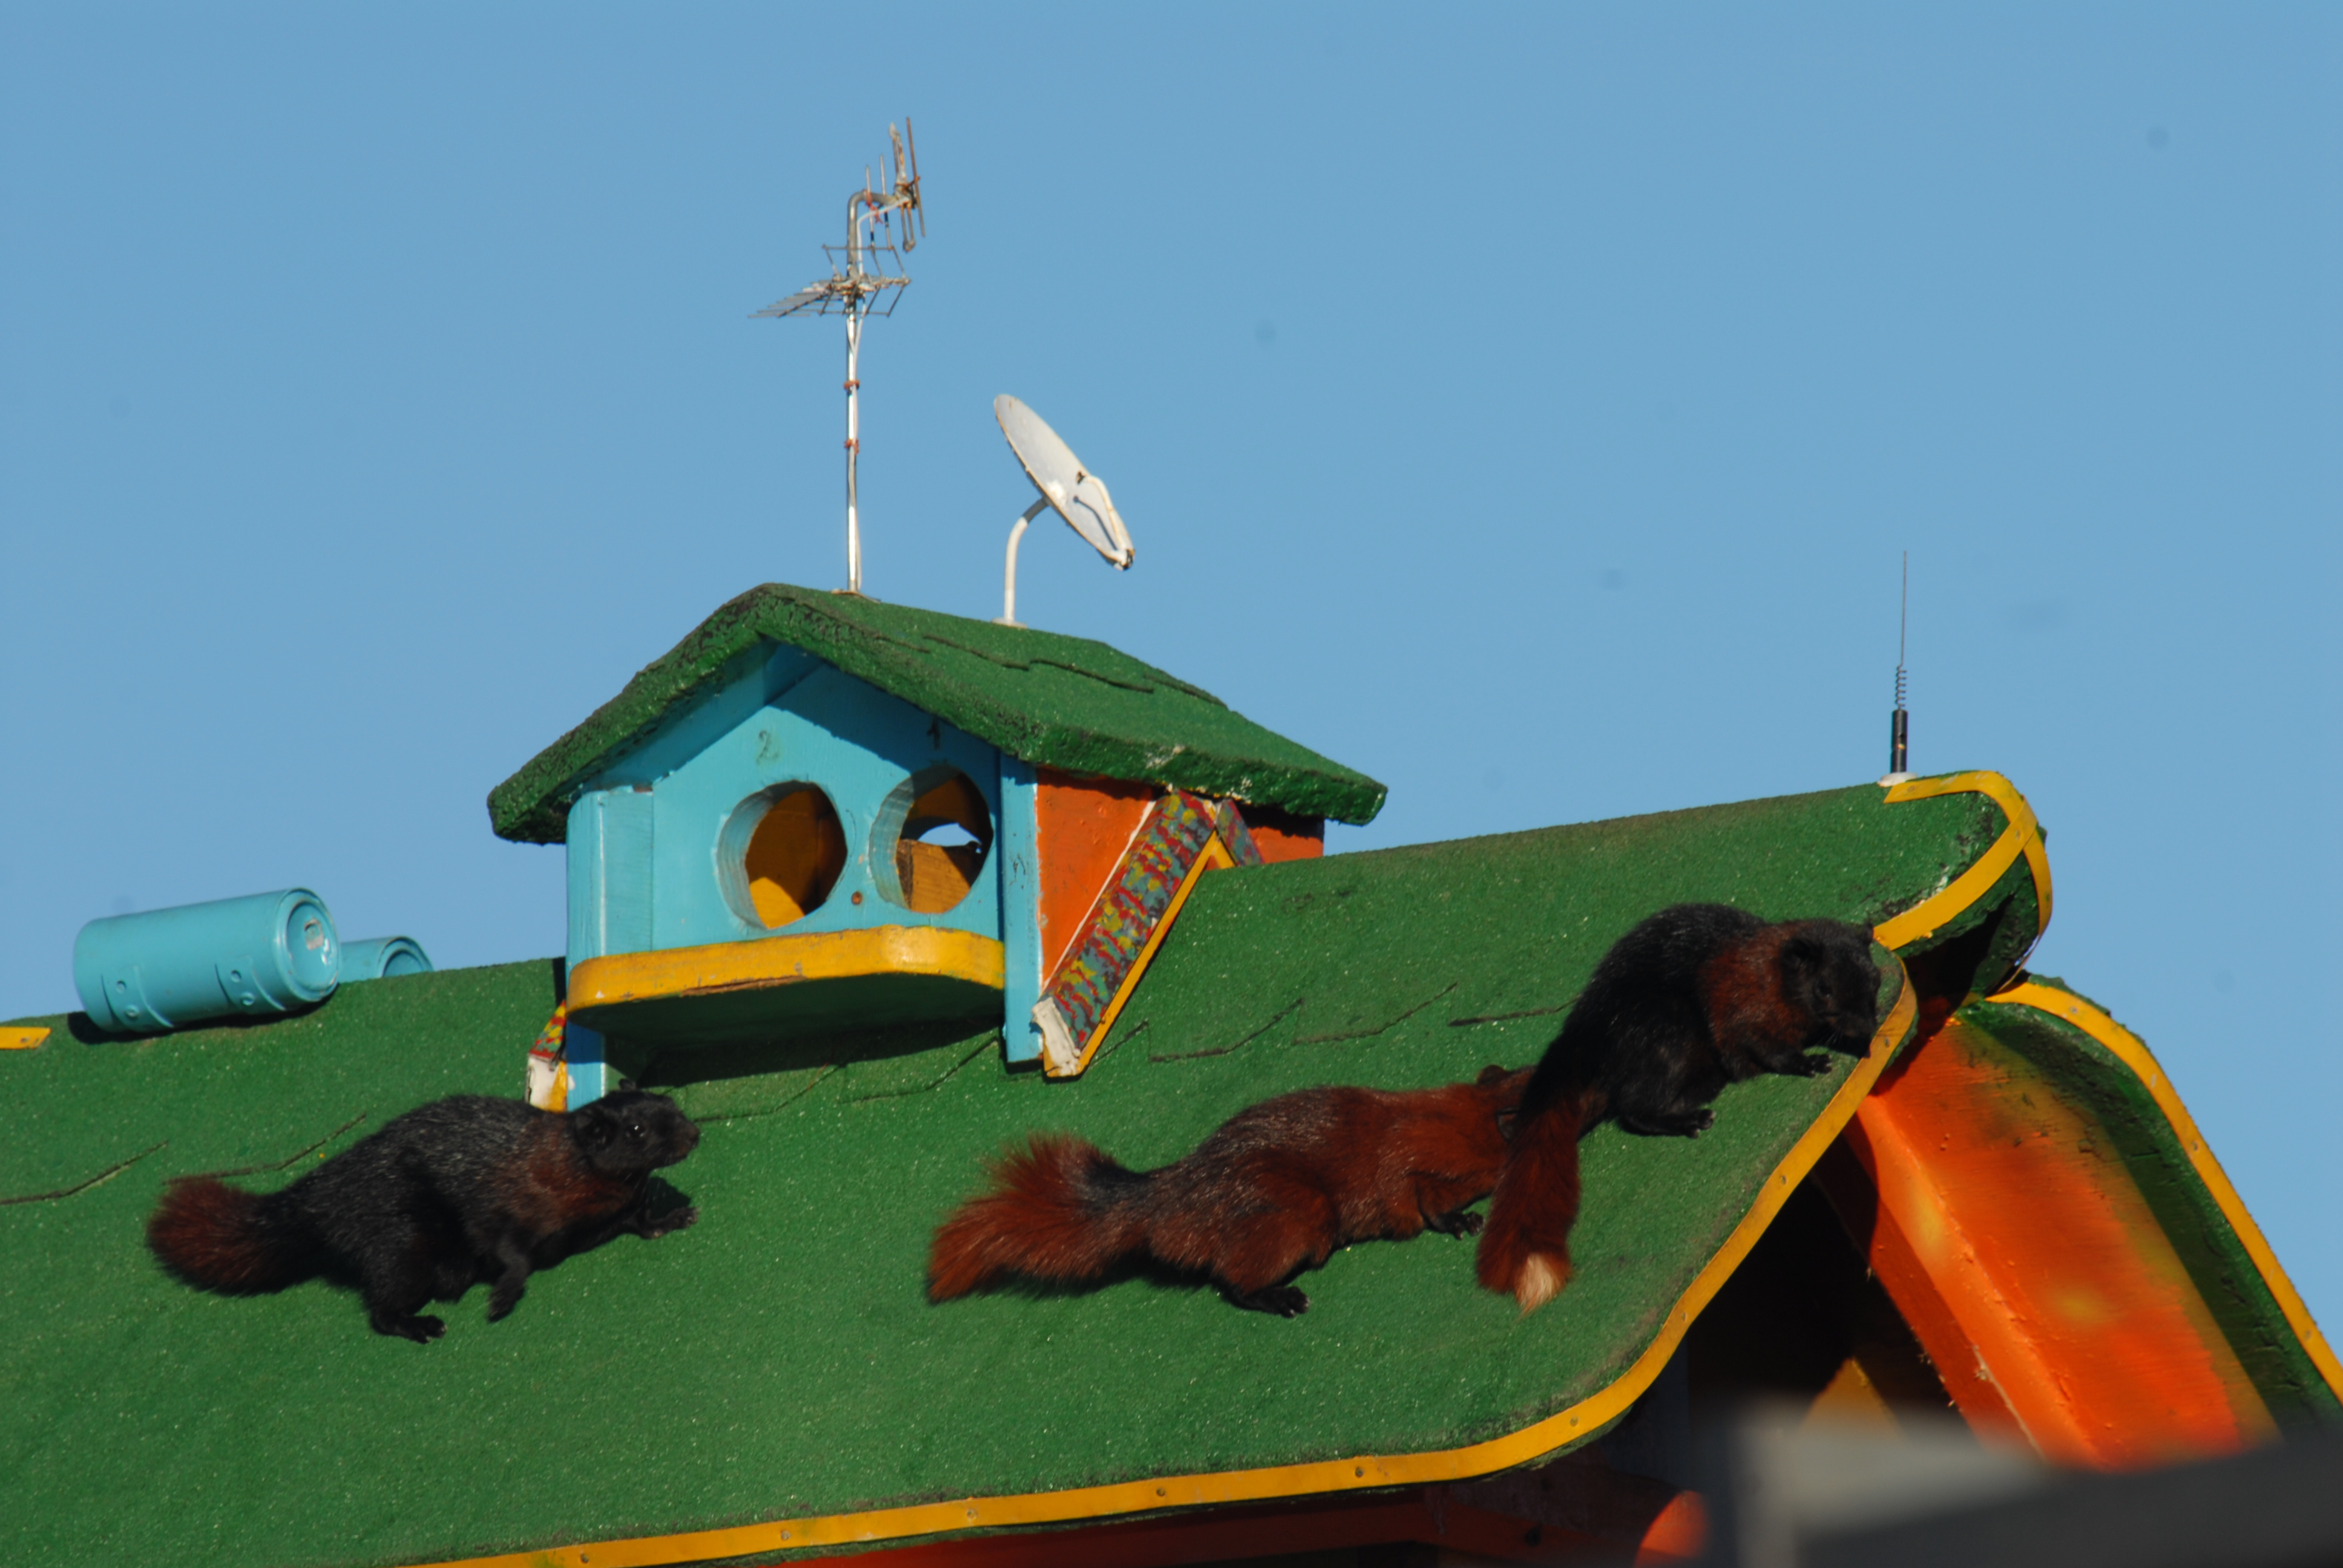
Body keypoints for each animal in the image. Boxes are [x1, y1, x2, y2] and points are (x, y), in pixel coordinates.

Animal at [146, 1088, 701, 1342]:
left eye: (672, 1102)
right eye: (635, 1130)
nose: (695, 1134)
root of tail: (310, 1203)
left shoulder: (618, 1211)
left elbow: (643, 1224)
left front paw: (677, 1216)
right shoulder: (506, 1206)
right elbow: (513, 1255)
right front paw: (502, 1298)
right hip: (404, 1247)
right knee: (380, 1311)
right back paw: (423, 1325)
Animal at [928, 1064, 1533, 1317]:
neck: (1470, 1115)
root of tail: (1169, 1198)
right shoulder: (1422, 1167)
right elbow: (1427, 1203)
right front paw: (1463, 1222)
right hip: (1298, 1215)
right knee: (1233, 1282)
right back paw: (1285, 1298)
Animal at [1476, 904, 1880, 1314]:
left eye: (1876, 978)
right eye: (1823, 988)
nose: (1868, 1023)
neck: (1769, 972)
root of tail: (1588, 1032)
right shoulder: (1744, 1011)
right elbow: (1769, 1051)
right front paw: (1811, 1062)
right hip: (1668, 1032)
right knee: (1634, 1106)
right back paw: (1690, 1116)